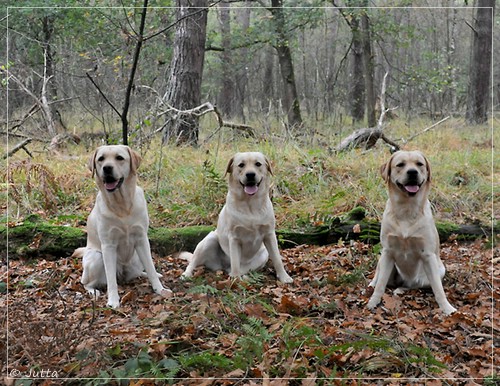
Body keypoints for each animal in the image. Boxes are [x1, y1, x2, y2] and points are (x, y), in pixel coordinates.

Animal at [71, 145, 171, 308]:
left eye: (119, 158)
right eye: (101, 159)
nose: (107, 168)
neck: (122, 206)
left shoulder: (142, 239)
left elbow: (150, 266)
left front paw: (160, 289)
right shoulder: (108, 245)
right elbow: (111, 280)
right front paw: (113, 301)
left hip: (136, 258)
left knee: (141, 270)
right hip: (97, 257)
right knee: (85, 282)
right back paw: (94, 292)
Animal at [181, 152, 292, 284]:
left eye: (258, 164)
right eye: (241, 165)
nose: (250, 174)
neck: (250, 206)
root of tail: (222, 266)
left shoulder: (269, 234)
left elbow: (277, 259)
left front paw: (284, 277)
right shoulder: (234, 237)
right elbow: (235, 262)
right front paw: (235, 280)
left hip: (263, 255)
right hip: (209, 240)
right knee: (193, 262)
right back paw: (187, 274)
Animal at [368, 149, 458, 316]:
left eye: (419, 164)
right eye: (400, 165)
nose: (412, 172)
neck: (406, 210)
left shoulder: (428, 255)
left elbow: (439, 290)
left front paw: (447, 308)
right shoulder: (387, 251)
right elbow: (381, 284)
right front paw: (373, 302)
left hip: (439, 270)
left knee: (414, 286)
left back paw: (401, 289)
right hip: (383, 261)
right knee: (379, 277)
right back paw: (372, 285)